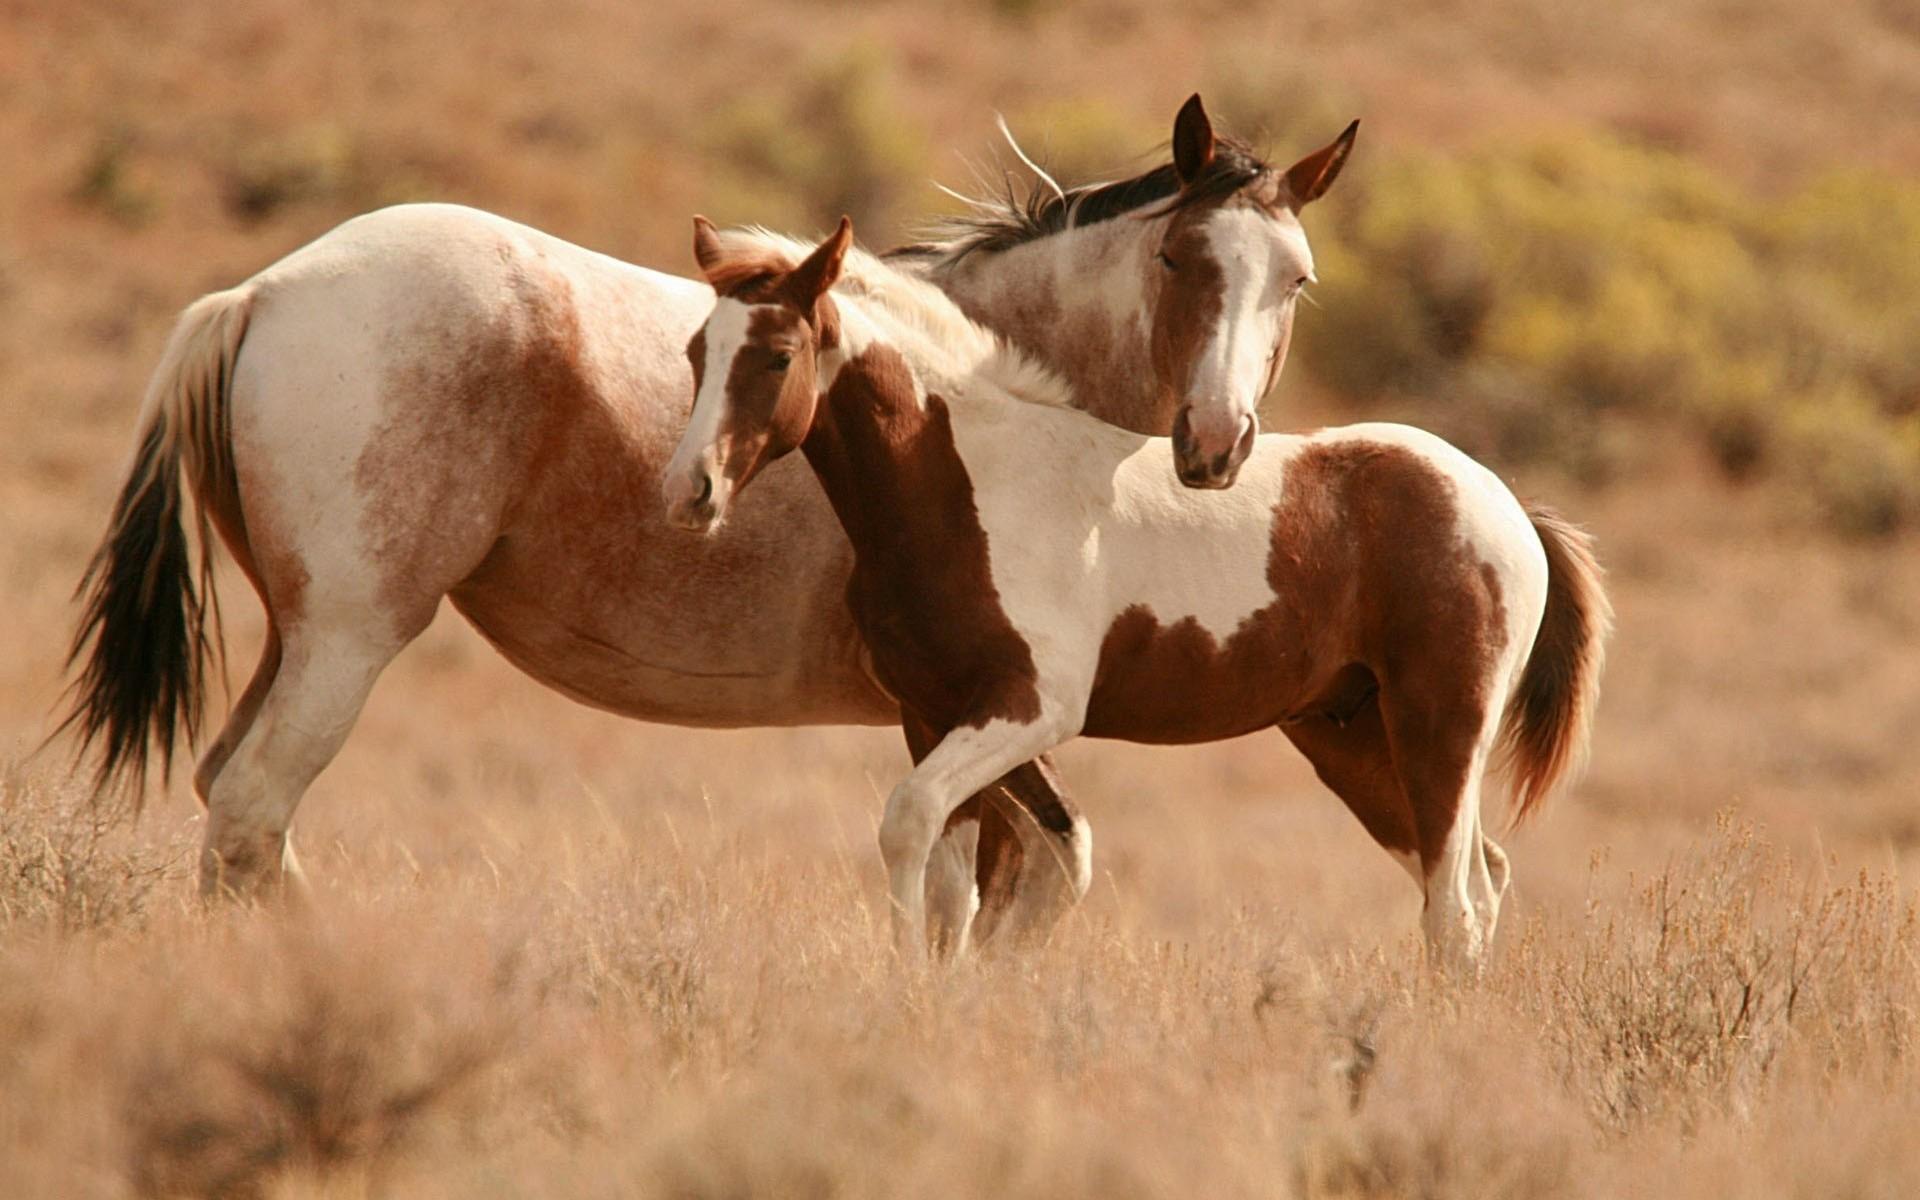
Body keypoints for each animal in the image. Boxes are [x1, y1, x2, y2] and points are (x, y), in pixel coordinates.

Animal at [60, 96, 1351, 936]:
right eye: (1183, 258)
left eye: (1296, 279)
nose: (1216, 443)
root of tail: (260, 292)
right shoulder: (966, 714)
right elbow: (1004, 883)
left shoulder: (966, 720)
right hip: (347, 640)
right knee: (251, 814)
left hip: (296, 637)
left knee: (236, 811)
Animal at [668, 219, 1612, 967]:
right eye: (695, 352)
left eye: (779, 356)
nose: (690, 490)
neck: (967, 484)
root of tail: (1503, 502)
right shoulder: (932, 713)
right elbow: (950, 882)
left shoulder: (1032, 710)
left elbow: (908, 822)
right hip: (1354, 740)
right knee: (1477, 881)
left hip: (1440, 727)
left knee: (1456, 907)